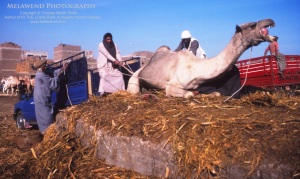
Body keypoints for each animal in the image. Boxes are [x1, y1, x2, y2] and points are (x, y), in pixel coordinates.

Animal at [126, 18, 274, 98]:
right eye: (252, 25)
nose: (270, 20)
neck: (197, 69)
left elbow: (215, 93)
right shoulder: (171, 86)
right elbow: (189, 94)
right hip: (133, 81)